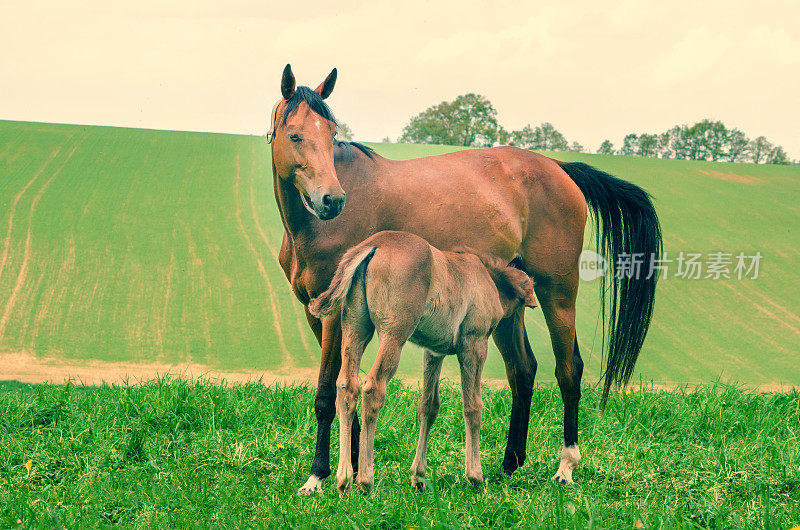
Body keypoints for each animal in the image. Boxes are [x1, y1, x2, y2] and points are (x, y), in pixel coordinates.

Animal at [308, 231, 536, 490]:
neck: (485, 277)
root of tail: (375, 244)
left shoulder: (433, 351)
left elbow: (428, 405)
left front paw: (418, 476)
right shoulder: (474, 344)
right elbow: (473, 406)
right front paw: (475, 477)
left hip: (355, 327)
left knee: (347, 386)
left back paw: (344, 479)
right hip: (394, 333)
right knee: (373, 388)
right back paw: (366, 481)